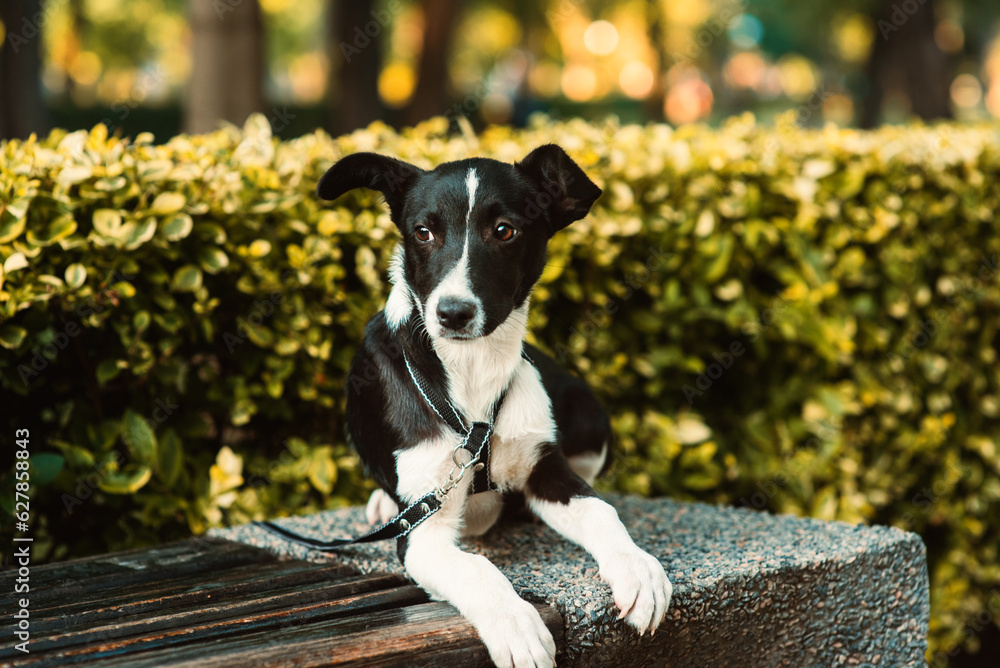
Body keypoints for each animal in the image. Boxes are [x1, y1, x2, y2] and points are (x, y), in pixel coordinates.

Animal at [318, 146, 672, 668]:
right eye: (423, 232)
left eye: (505, 230)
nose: (452, 313)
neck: (473, 370)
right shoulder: (422, 534)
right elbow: (477, 570)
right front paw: (514, 623)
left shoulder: (546, 467)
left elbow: (600, 511)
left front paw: (638, 569)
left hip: (588, 413)